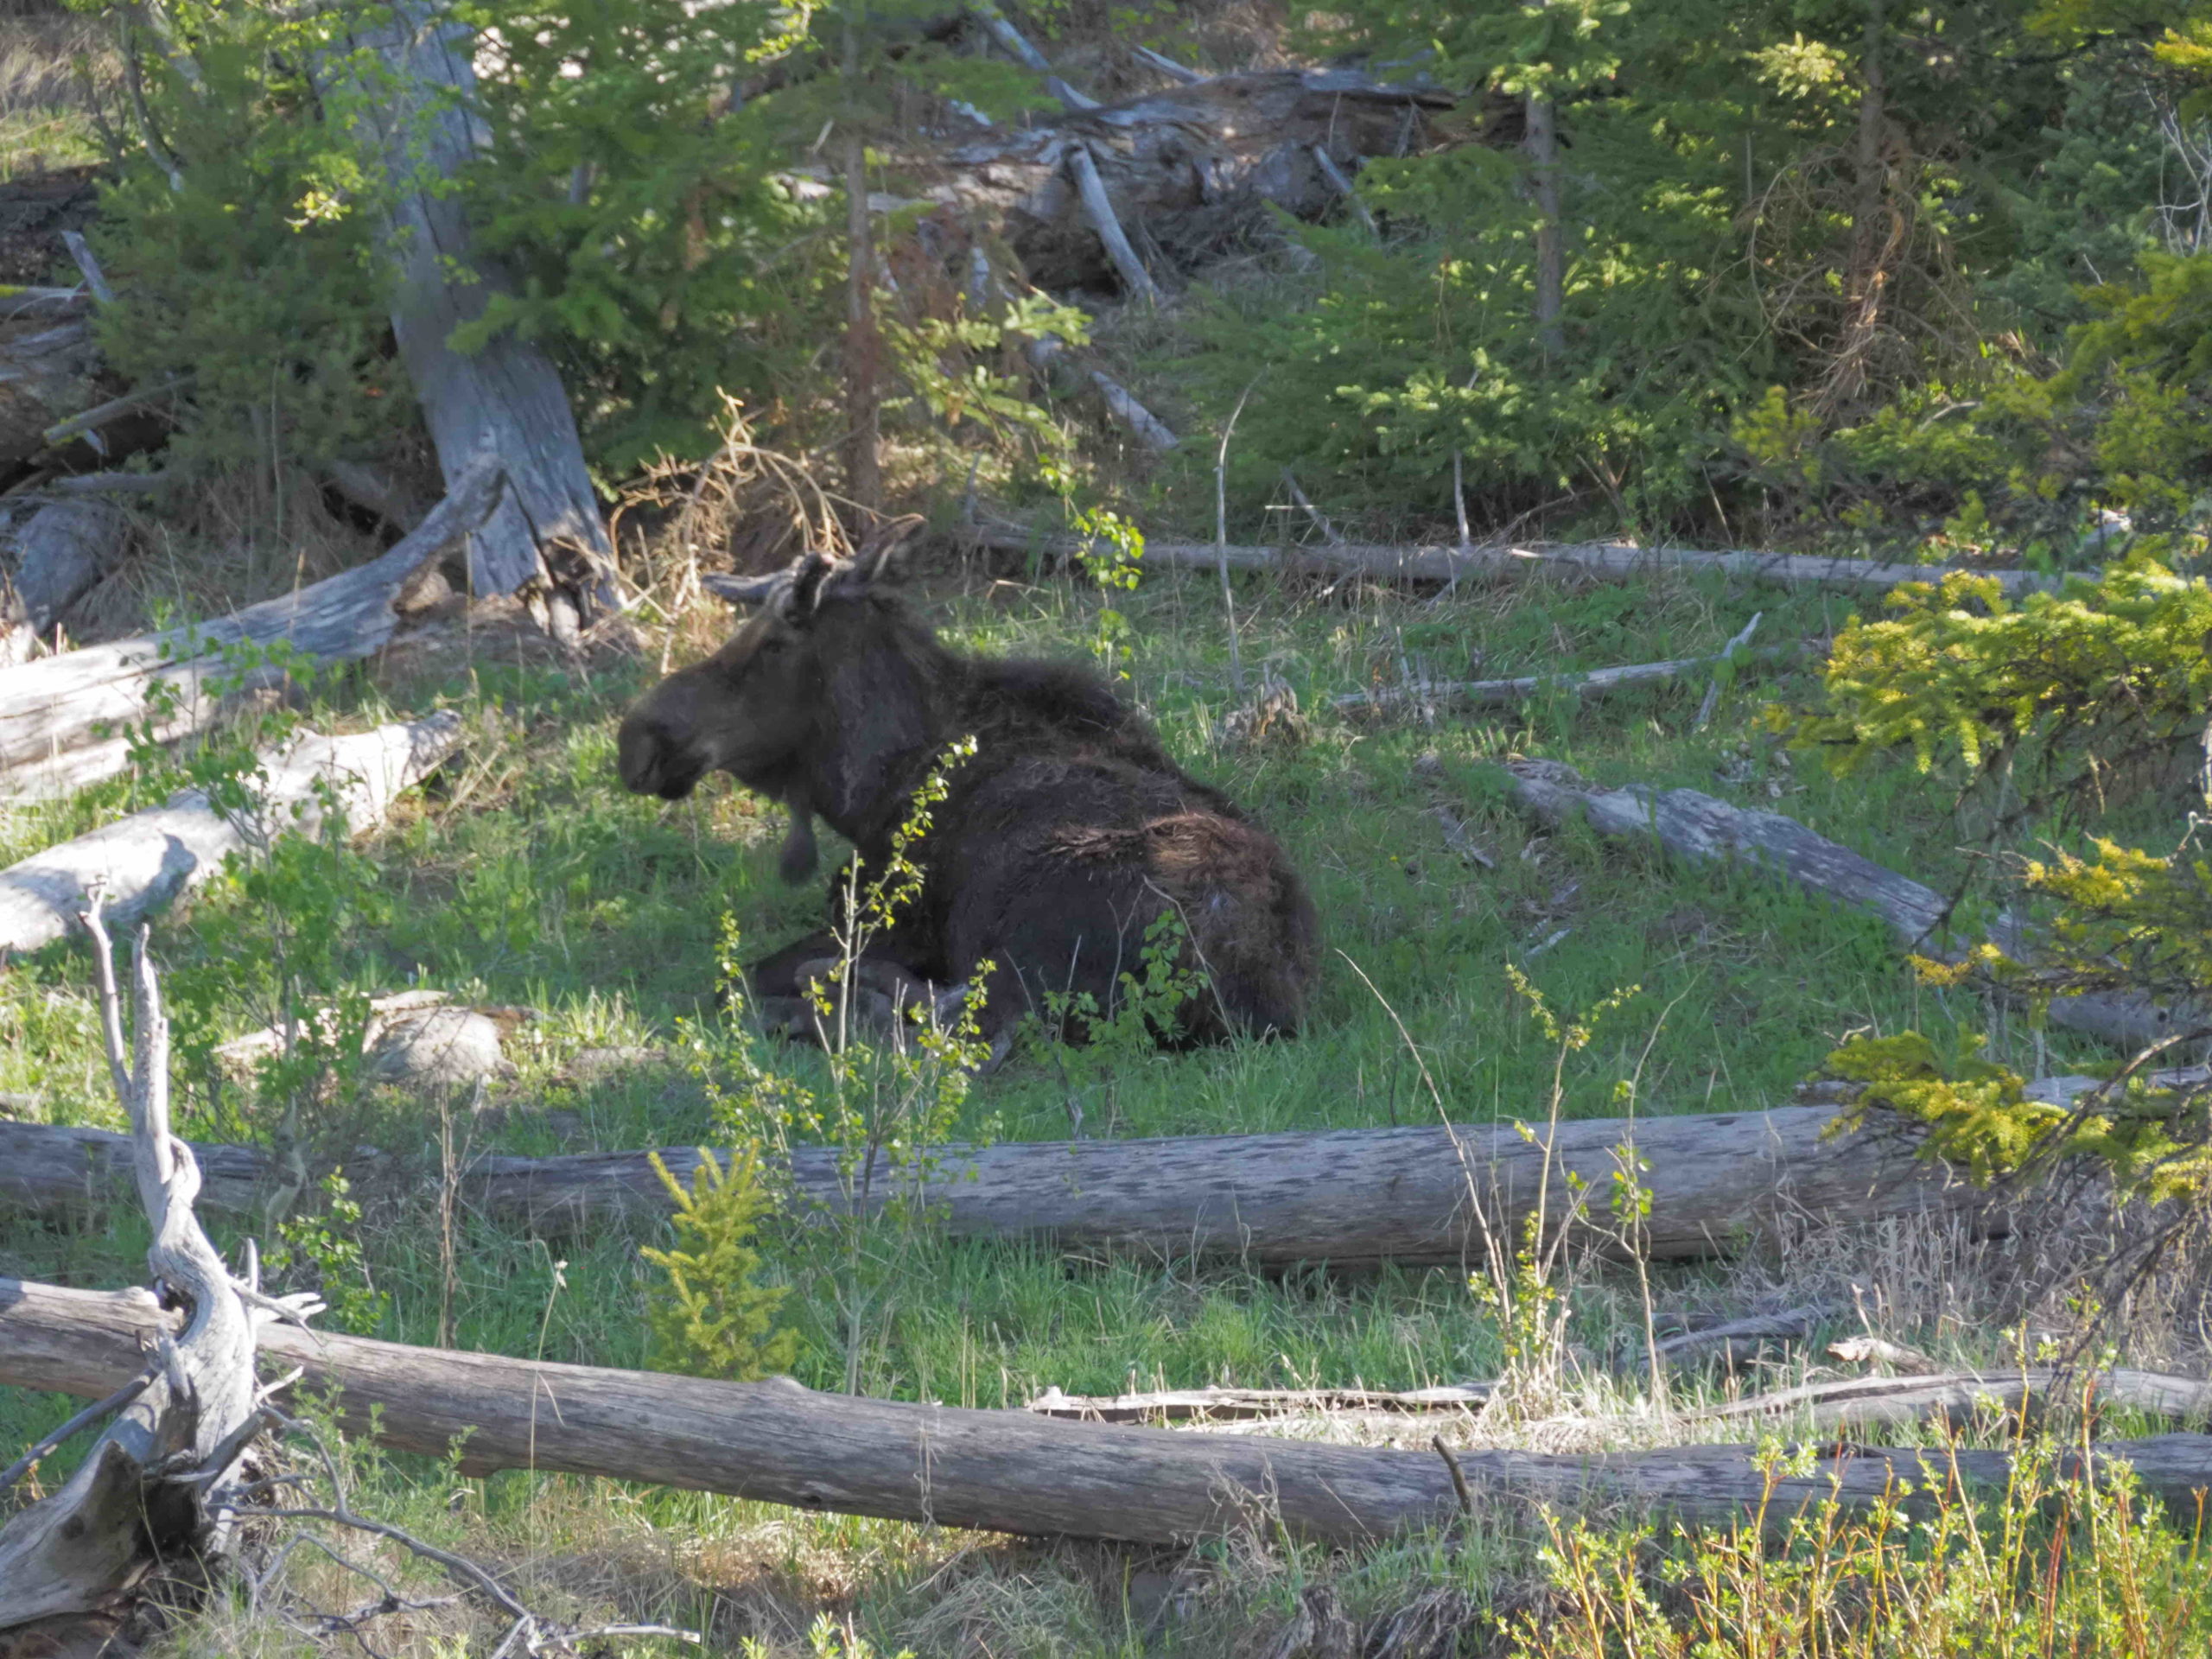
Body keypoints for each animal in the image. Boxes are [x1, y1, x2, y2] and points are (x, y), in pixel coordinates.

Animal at [614, 526, 1318, 1057]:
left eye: (776, 641)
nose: (635, 739)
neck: (869, 789)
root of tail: (1257, 988)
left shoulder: (889, 922)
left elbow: (731, 980)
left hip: (1023, 944)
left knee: (959, 1028)